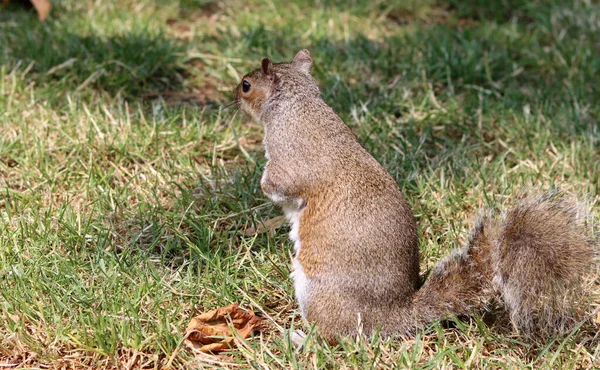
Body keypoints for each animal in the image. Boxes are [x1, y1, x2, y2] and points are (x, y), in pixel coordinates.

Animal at [232, 49, 596, 344]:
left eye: (247, 84)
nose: (233, 95)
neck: (297, 101)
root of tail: (394, 316)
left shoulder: (289, 156)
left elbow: (280, 185)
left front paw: (261, 184)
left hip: (319, 293)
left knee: (337, 336)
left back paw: (297, 338)